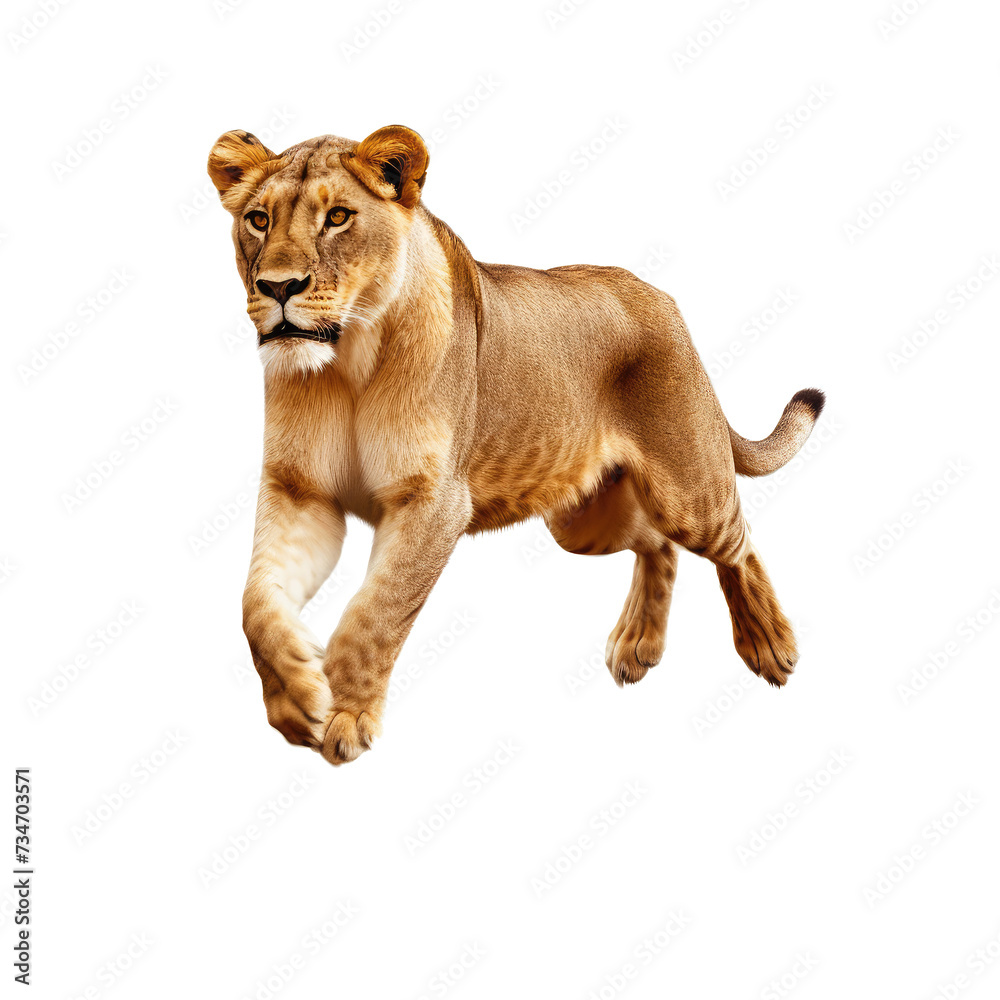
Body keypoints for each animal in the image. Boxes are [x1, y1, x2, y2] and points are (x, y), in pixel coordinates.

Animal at [208, 125, 824, 766]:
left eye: (337, 217)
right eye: (258, 220)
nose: (277, 287)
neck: (347, 362)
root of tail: (661, 299)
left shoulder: (434, 501)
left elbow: (376, 610)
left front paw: (347, 714)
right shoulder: (300, 491)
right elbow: (256, 603)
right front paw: (297, 697)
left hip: (689, 490)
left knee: (737, 543)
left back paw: (769, 646)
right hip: (583, 522)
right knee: (657, 544)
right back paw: (637, 645)